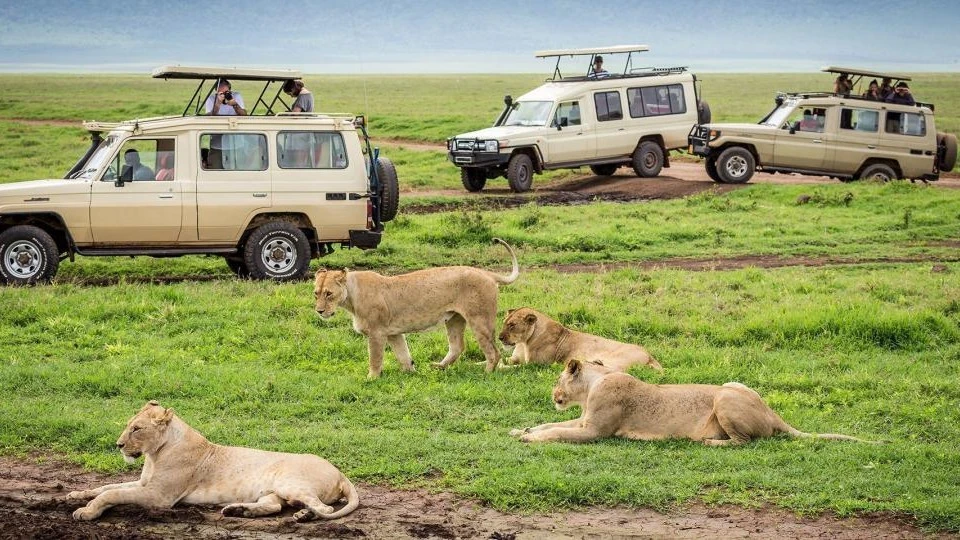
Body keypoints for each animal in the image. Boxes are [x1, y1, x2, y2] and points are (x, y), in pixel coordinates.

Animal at [68, 400, 360, 520]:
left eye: (137, 429)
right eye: (129, 425)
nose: (118, 445)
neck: (155, 454)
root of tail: (340, 472)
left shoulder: (159, 496)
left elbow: (112, 494)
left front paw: (87, 511)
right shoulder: (144, 485)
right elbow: (106, 487)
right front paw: (76, 495)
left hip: (289, 483)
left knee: (325, 509)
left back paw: (305, 515)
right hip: (273, 492)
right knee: (274, 506)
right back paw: (239, 511)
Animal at [316, 238, 516, 378]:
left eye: (329, 293)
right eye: (316, 293)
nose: (319, 311)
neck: (351, 296)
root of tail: (487, 273)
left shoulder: (376, 332)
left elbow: (375, 358)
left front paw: (371, 378)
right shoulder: (393, 333)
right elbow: (403, 354)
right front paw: (410, 373)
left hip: (479, 319)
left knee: (494, 351)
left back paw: (487, 373)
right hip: (454, 318)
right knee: (457, 346)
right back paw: (439, 367)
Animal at [498, 308, 664, 372]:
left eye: (512, 325)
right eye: (504, 322)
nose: (499, 338)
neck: (523, 342)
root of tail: (650, 355)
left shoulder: (535, 365)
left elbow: (510, 367)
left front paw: (499, 367)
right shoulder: (516, 358)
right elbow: (499, 361)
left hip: (618, 359)